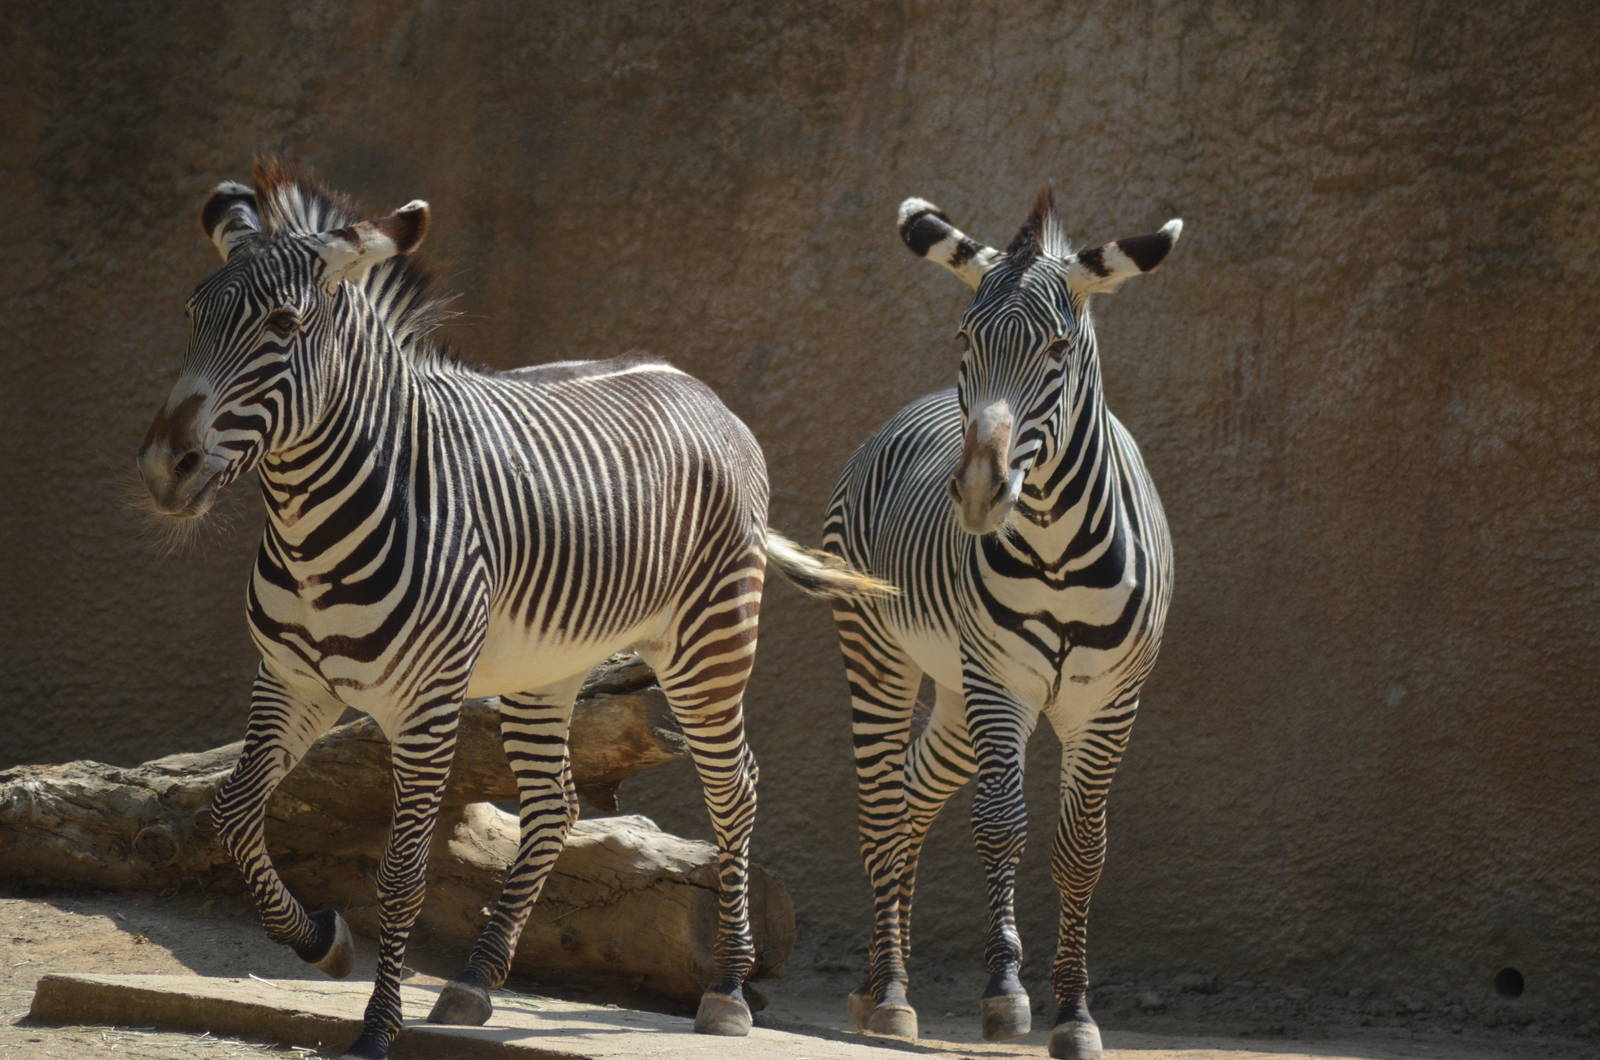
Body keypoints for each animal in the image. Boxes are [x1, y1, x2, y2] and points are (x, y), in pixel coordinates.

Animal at [135, 160, 889, 1060]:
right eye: (192, 315)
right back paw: (472, 981)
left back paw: (728, 990)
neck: (313, 524)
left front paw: (376, 1030)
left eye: (283, 323)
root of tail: (698, 385)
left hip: (709, 644)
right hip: (545, 672)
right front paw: (320, 941)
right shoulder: (291, 679)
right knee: (556, 805)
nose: (166, 468)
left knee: (734, 787)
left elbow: (402, 876)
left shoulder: (425, 706)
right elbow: (234, 813)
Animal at [822, 187, 1179, 1060]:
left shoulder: (1108, 703)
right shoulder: (1001, 686)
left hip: (954, 699)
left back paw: (875, 981)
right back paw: (892, 994)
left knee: (912, 794)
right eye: (964, 338)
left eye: (1058, 348)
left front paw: (1075, 1014)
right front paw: (1006, 992)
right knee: (882, 808)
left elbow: (1081, 850)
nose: (981, 492)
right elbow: (1001, 827)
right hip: (883, 654)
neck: (1057, 553)